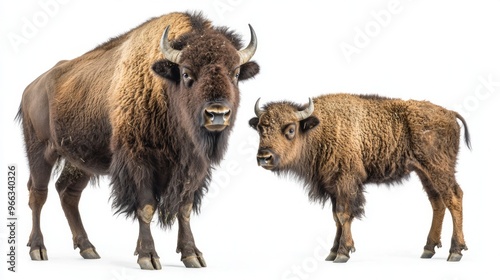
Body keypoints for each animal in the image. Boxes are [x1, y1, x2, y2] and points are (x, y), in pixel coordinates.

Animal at [16, 12, 258, 270]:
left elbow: (184, 209)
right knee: (38, 194)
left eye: (235, 73)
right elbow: (146, 207)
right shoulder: (139, 163)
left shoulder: (193, 167)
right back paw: (38, 249)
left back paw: (88, 248)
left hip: (80, 162)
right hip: (40, 151)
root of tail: (31, 88)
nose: (218, 113)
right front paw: (148, 256)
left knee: (68, 193)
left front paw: (192, 255)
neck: (163, 88)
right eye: (186, 73)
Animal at [252, 93, 470, 262]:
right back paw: (428, 249)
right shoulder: (333, 187)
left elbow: (344, 215)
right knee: (437, 202)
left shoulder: (346, 182)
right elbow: (336, 218)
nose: (264, 157)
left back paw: (455, 251)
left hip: (439, 168)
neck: (319, 129)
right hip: (424, 172)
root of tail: (450, 113)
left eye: (290, 129)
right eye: (261, 129)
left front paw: (342, 253)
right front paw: (332, 253)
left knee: (454, 198)